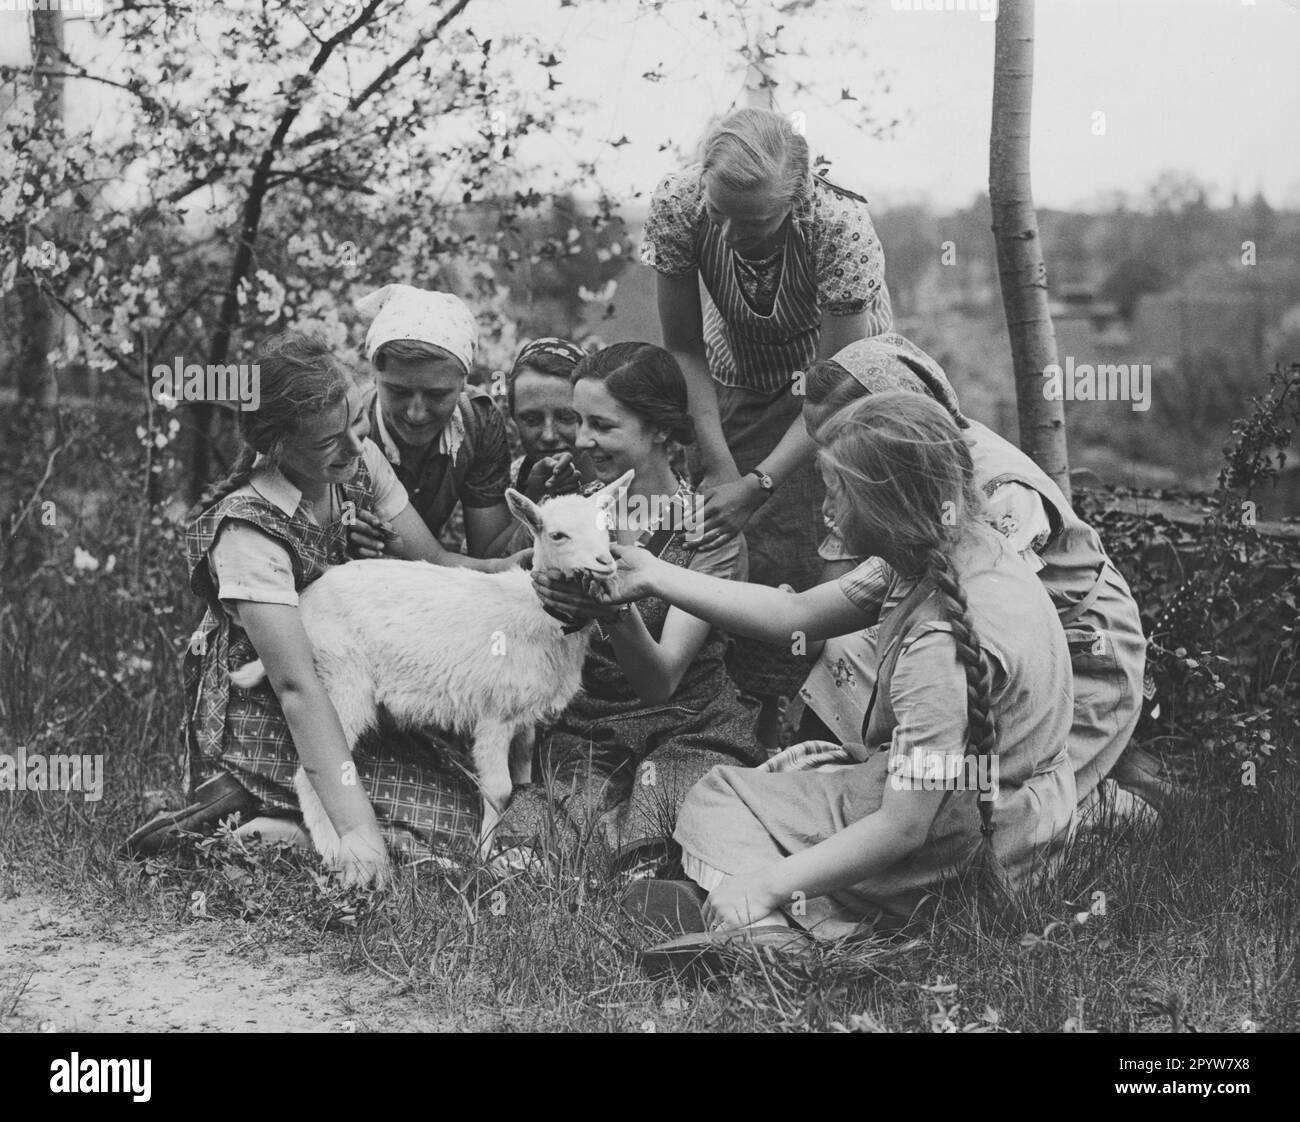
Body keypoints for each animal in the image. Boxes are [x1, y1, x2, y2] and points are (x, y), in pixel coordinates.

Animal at [230, 470, 634, 863]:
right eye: (557, 534)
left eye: (605, 526)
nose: (605, 562)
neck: (537, 616)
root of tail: (303, 604)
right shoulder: (495, 714)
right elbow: (499, 789)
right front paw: (483, 856)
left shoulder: (525, 714)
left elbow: (522, 773)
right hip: (339, 678)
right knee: (312, 773)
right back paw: (333, 850)